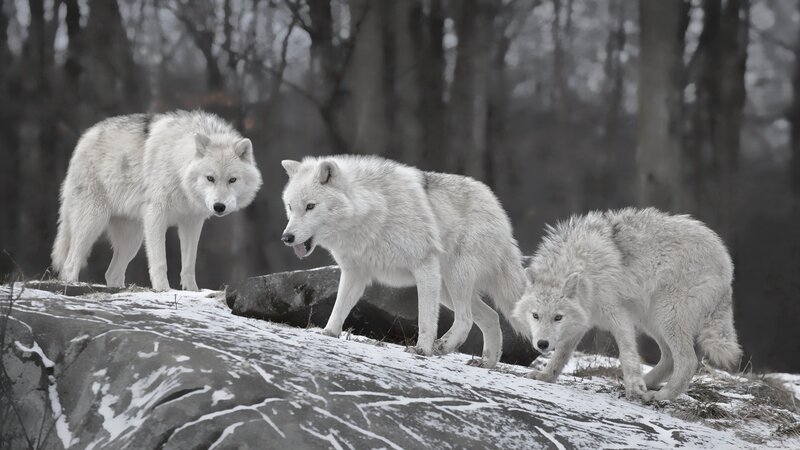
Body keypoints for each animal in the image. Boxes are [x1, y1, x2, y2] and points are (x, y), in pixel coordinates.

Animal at [52, 110, 262, 291]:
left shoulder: (192, 222)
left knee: (112, 273)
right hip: (94, 222)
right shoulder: (156, 216)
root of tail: (85, 137)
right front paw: (163, 289)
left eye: (232, 180)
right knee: (70, 264)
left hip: (132, 239)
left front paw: (192, 291)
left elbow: (189, 264)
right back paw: (72, 285)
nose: (219, 207)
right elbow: (160, 262)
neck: (178, 166)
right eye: (210, 178)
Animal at [279, 155, 526, 367]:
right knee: (491, 316)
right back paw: (486, 363)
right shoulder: (354, 273)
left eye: (310, 206)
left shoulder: (424, 265)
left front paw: (422, 350)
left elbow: (425, 318)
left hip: (454, 278)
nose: (286, 238)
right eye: (291, 207)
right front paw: (328, 333)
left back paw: (443, 347)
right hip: (446, 288)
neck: (372, 212)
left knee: (466, 318)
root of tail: (497, 206)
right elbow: (339, 308)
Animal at [513, 208, 741, 401]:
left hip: (666, 316)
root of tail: (726, 262)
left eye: (557, 317)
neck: (584, 268)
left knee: (688, 361)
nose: (542, 344)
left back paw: (660, 395)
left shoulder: (618, 314)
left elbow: (627, 353)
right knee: (669, 359)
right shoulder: (582, 320)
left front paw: (634, 385)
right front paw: (546, 376)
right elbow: (561, 354)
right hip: (651, 320)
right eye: (535, 315)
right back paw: (646, 384)